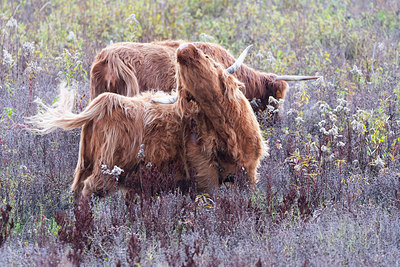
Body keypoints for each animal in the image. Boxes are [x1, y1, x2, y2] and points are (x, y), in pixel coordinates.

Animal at [28, 43, 266, 199]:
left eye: (210, 61)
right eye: (181, 82)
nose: (184, 49)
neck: (228, 131)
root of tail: (105, 102)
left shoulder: (249, 173)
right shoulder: (204, 177)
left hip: (85, 164)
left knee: (77, 191)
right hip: (106, 170)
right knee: (89, 191)